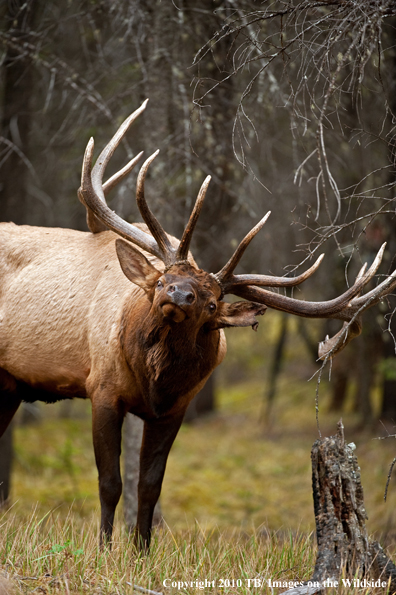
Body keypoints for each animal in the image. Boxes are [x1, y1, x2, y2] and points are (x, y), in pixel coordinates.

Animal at [0, 100, 396, 552]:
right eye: (163, 279)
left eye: (211, 303)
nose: (178, 295)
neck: (152, 381)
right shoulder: (102, 387)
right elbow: (110, 483)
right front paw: (103, 550)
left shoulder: (175, 409)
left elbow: (150, 486)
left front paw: (141, 552)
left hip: (9, 385)